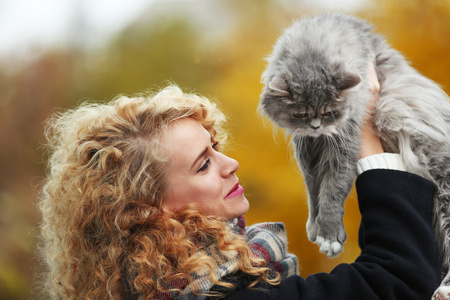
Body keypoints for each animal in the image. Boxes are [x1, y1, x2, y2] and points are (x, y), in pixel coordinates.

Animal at [258, 12, 450, 298]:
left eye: (329, 112)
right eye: (300, 114)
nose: (316, 126)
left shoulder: (344, 145)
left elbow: (331, 192)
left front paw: (329, 235)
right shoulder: (308, 153)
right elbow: (314, 191)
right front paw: (314, 225)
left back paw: (444, 289)